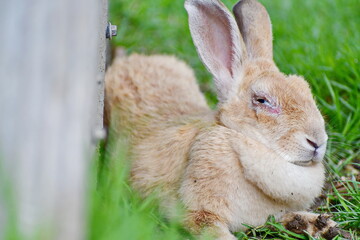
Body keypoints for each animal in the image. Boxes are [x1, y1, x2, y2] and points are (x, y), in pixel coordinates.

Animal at [104, 0, 338, 238]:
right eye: (262, 100)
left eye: (305, 88)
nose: (318, 142)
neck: (237, 137)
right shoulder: (199, 212)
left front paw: (320, 225)